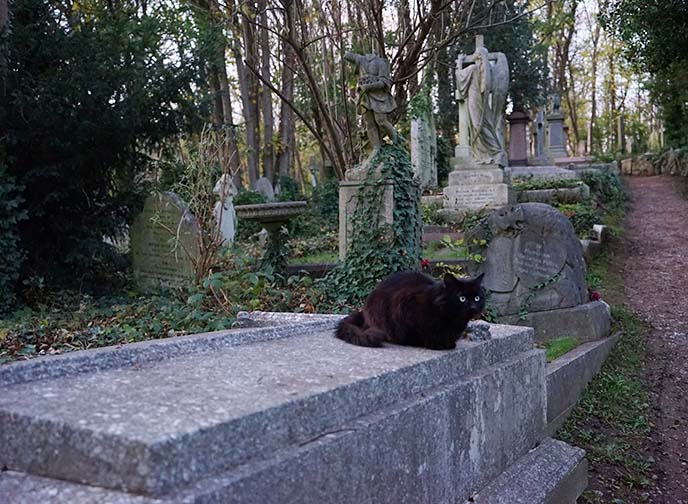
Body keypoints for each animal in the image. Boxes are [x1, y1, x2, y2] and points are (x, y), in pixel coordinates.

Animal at [336, 272, 486, 350]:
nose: (473, 307)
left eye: (477, 298)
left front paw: (449, 343)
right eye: (462, 298)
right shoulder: (404, 307)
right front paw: (435, 344)